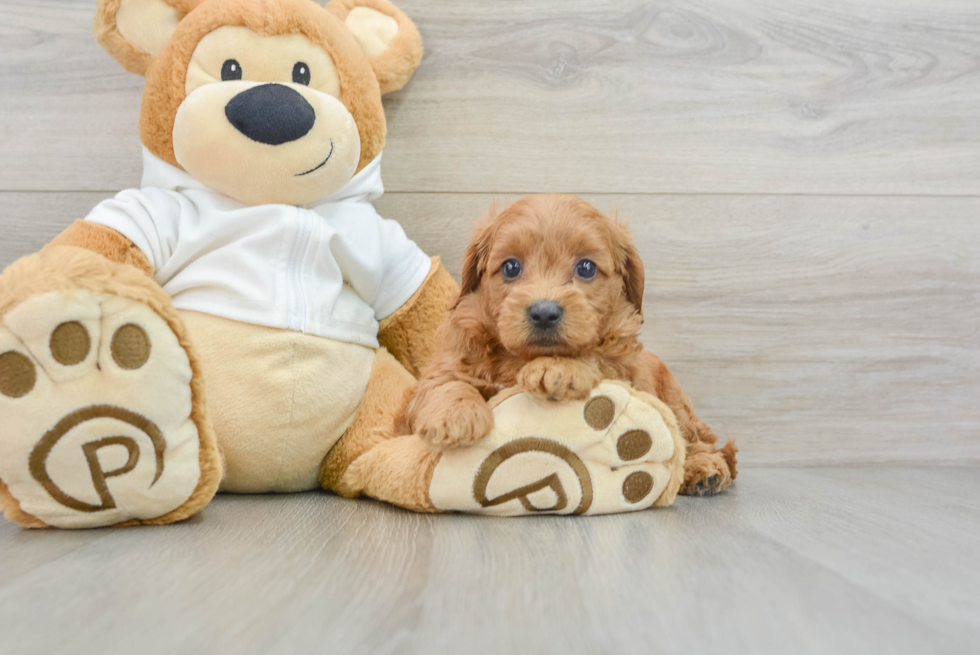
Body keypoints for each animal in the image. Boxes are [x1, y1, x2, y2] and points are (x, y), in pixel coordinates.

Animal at [398, 195, 736, 498]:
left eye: (586, 267)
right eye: (510, 267)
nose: (544, 312)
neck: (521, 358)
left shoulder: (623, 366)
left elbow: (596, 355)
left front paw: (559, 368)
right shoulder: (448, 362)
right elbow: (444, 383)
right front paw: (455, 416)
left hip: (677, 404)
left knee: (696, 440)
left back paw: (704, 469)